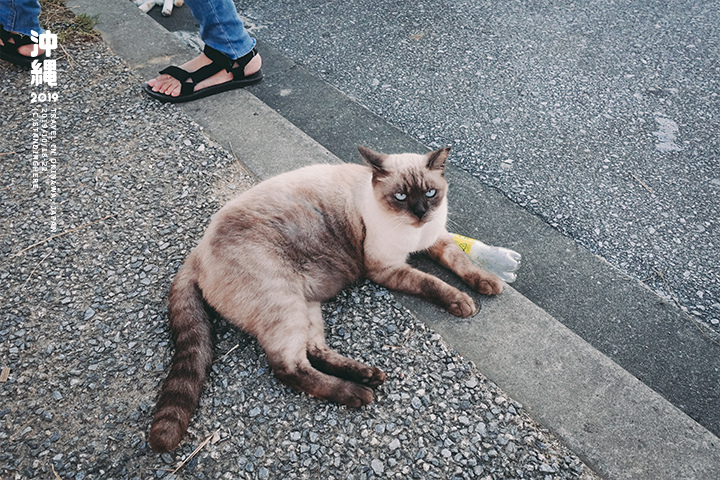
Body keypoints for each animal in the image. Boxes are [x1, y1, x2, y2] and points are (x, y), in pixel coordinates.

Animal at [149, 144, 504, 452]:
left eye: (431, 194)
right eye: (401, 197)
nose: (419, 212)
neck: (415, 237)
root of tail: (196, 252)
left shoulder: (437, 239)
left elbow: (461, 262)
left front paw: (489, 282)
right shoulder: (386, 269)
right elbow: (431, 282)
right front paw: (462, 303)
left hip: (307, 303)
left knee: (314, 350)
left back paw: (368, 374)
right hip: (285, 303)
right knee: (288, 367)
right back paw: (357, 393)